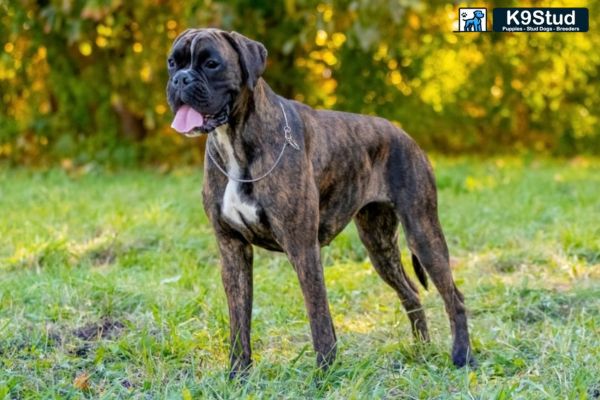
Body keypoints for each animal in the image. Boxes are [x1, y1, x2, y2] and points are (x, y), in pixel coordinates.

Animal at [165, 28, 474, 378]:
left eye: (211, 63)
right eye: (172, 62)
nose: (181, 79)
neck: (234, 140)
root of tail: (402, 133)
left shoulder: (302, 247)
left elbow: (318, 315)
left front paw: (325, 371)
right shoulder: (232, 249)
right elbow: (239, 319)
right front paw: (237, 375)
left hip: (422, 232)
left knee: (454, 296)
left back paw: (462, 356)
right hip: (379, 245)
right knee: (411, 293)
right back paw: (421, 351)